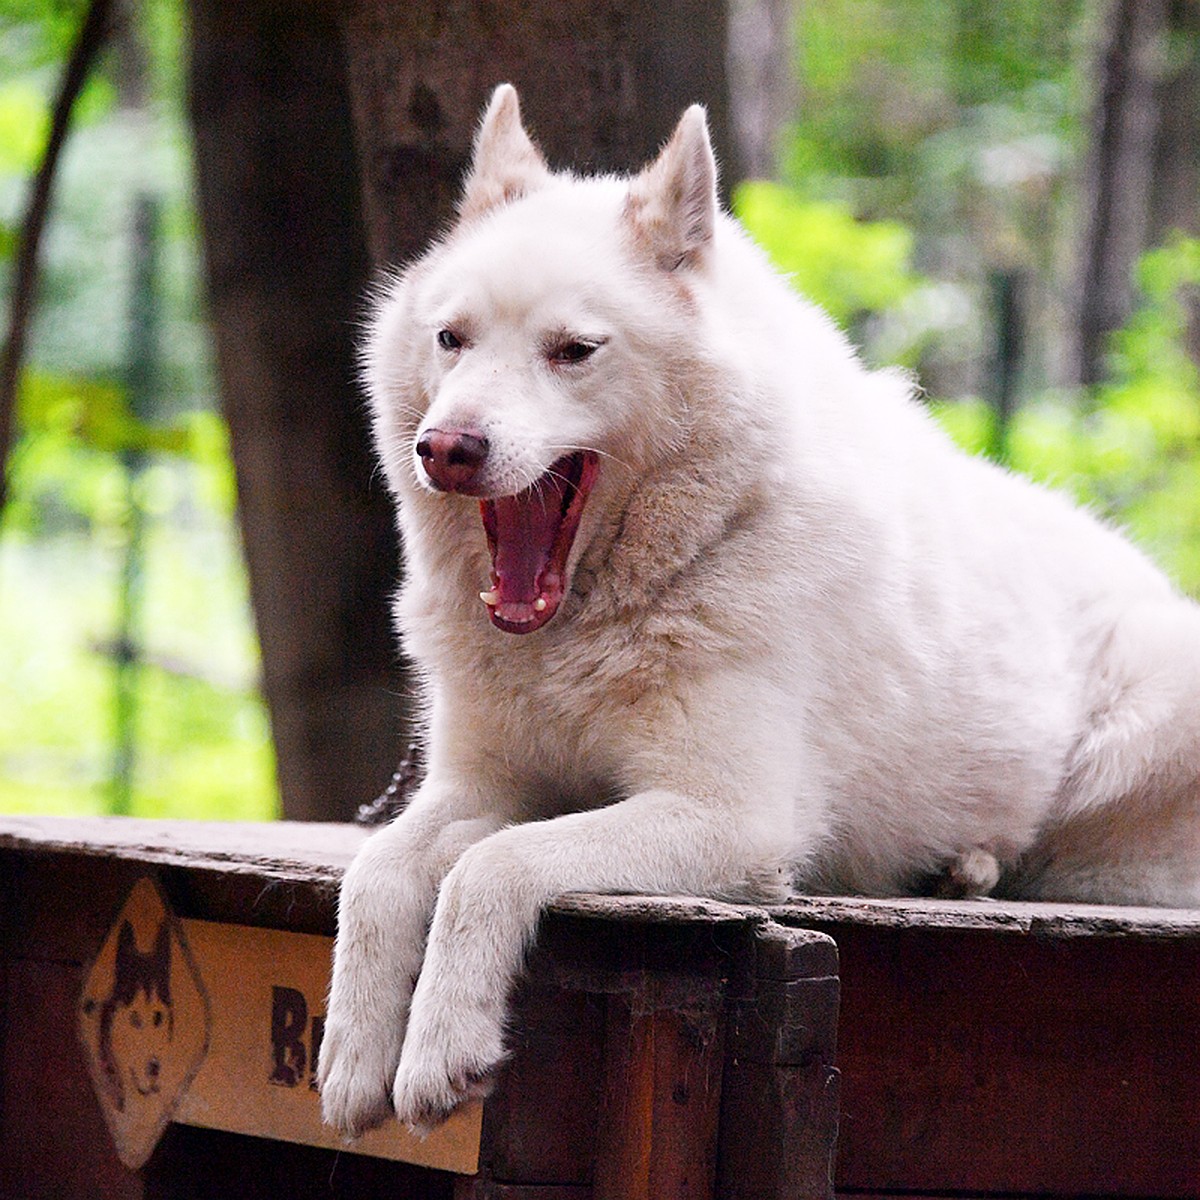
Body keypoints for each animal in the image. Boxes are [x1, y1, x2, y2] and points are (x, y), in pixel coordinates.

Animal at [319, 84, 1200, 1132]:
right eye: (451, 339)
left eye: (573, 352)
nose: (445, 448)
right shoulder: (478, 787)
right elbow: (377, 873)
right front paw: (353, 1055)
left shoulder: (732, 820)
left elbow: (490, 868)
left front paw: (441, 1045)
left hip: (1141, 729)